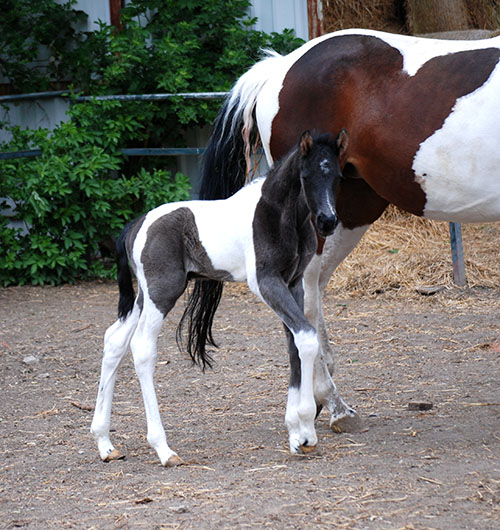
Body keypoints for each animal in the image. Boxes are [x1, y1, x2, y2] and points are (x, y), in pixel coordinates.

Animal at [90, 130, 348, 466]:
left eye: (338, 176)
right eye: (306, 176)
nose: (328, 221)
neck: (277, 213)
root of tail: (137, 223)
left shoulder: (292, 284)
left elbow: (294, 344)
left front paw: (297, 432)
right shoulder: (265, 282)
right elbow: (305, 337)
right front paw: (304, 431)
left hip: (144, 295)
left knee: (115, 340)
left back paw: (105, 443)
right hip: (162, 292)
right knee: (142, 347)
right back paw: (164, 449)